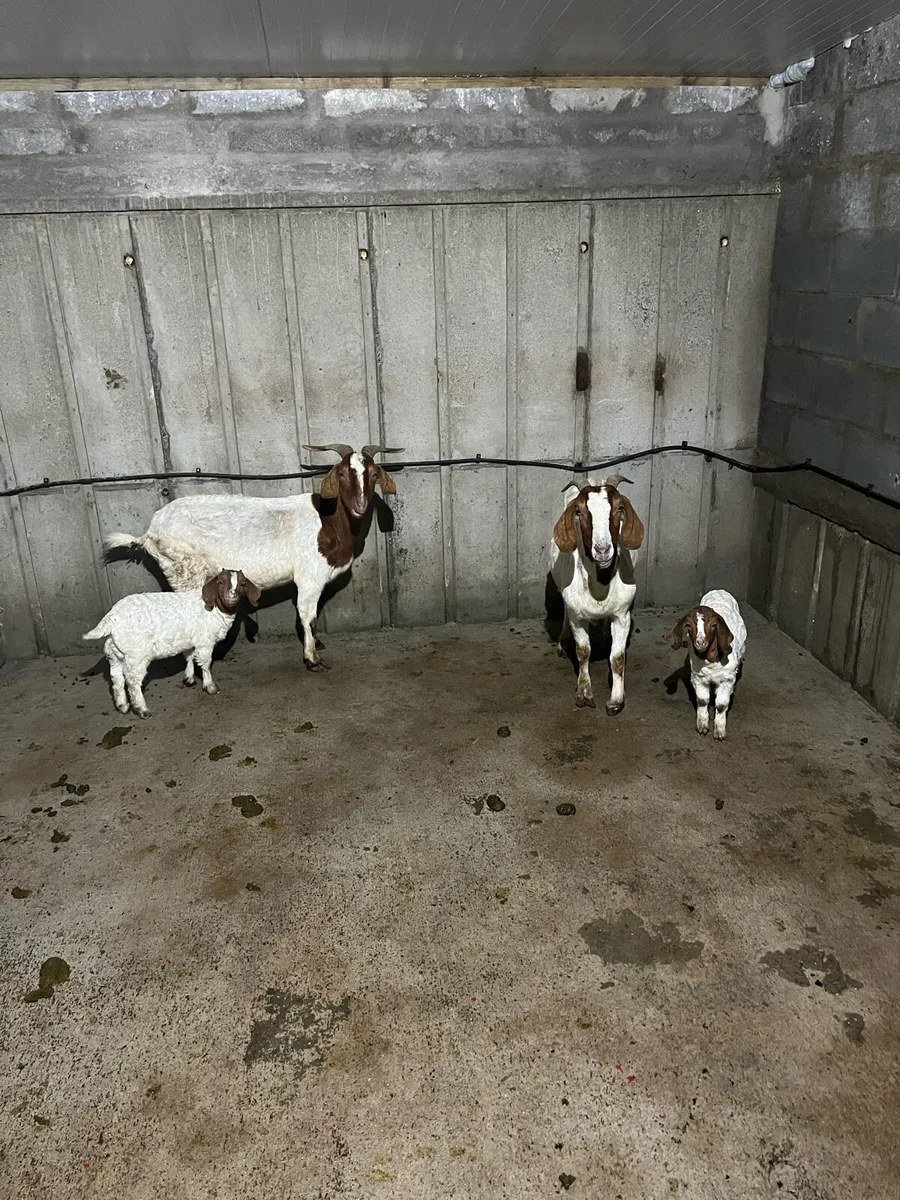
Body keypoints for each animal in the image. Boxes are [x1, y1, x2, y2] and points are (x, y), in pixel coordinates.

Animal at [82, 570, 261, 718]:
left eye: (242, 584)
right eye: (220, 582)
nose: (232, 596)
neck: (215, 609)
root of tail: (112, 618)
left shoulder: (189, 640)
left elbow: (189, 657)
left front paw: (189, 679)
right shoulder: (205, 641)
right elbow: (205, 663)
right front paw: (210, 686)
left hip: (115, 653)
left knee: (117, 678)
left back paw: (122, 706)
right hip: (136, 655)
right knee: (132, 681)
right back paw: (141, 709)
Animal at [104, 445, 402, 672]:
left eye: (374, 474)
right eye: (341, 474)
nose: (360, 505)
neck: (330, 522)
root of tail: (150, 532)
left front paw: (316, 645)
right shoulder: (309, 577)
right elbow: (308, 616)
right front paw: (312, 658)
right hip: (185, 570)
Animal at [550, 475, 645, 714]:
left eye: (620, 508)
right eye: (579, 511)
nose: (602, 550)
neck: (600, 586)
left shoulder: (622, 615)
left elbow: (618, 658)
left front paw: (616, 700)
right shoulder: (577, 617)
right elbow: (583, 652)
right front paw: (584, 693)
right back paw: (562, 642)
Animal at [669, 589, 747, 740]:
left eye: (713, 625)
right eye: (688, 626)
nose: (700, 642)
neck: (710, 662)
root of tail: (719, 590)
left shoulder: (727, 679)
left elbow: (721, 705)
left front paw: (719, 732)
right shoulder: (698, 677)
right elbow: (702, 700)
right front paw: (702, 726)